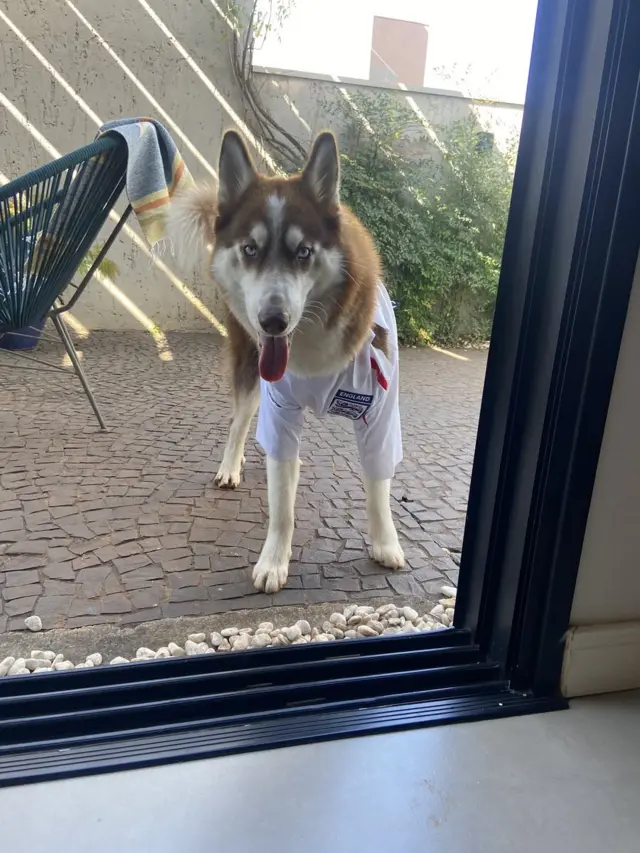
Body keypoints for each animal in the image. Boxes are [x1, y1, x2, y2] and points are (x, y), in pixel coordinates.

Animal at [168, 130, 402, 592]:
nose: (272, 321)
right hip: (250, 369)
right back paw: (232, 465)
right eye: (250, 248)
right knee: (241, 422)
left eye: (304, 252)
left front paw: (385, 543)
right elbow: (282, 504)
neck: (312, 352)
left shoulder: (380, 412)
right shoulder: (279, 407)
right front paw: (274, 561)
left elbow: (377, 485)